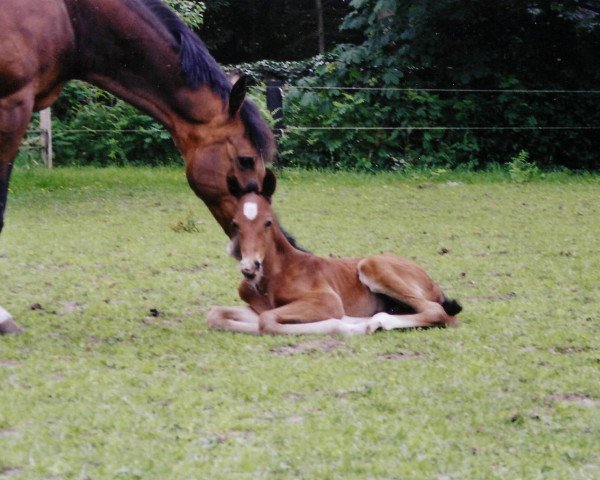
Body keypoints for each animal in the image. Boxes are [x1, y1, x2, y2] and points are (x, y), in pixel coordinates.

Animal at [209, 171, 462, 336]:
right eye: (235, 224)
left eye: (268, 222)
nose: (249, 268)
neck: (274, 276)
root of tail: (431, 281)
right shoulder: (257, 308)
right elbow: (216, 315)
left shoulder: (328, 301)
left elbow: (267, 321)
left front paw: (349, 326)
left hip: (372, 265)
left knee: (437, 311)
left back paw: (375, 322)